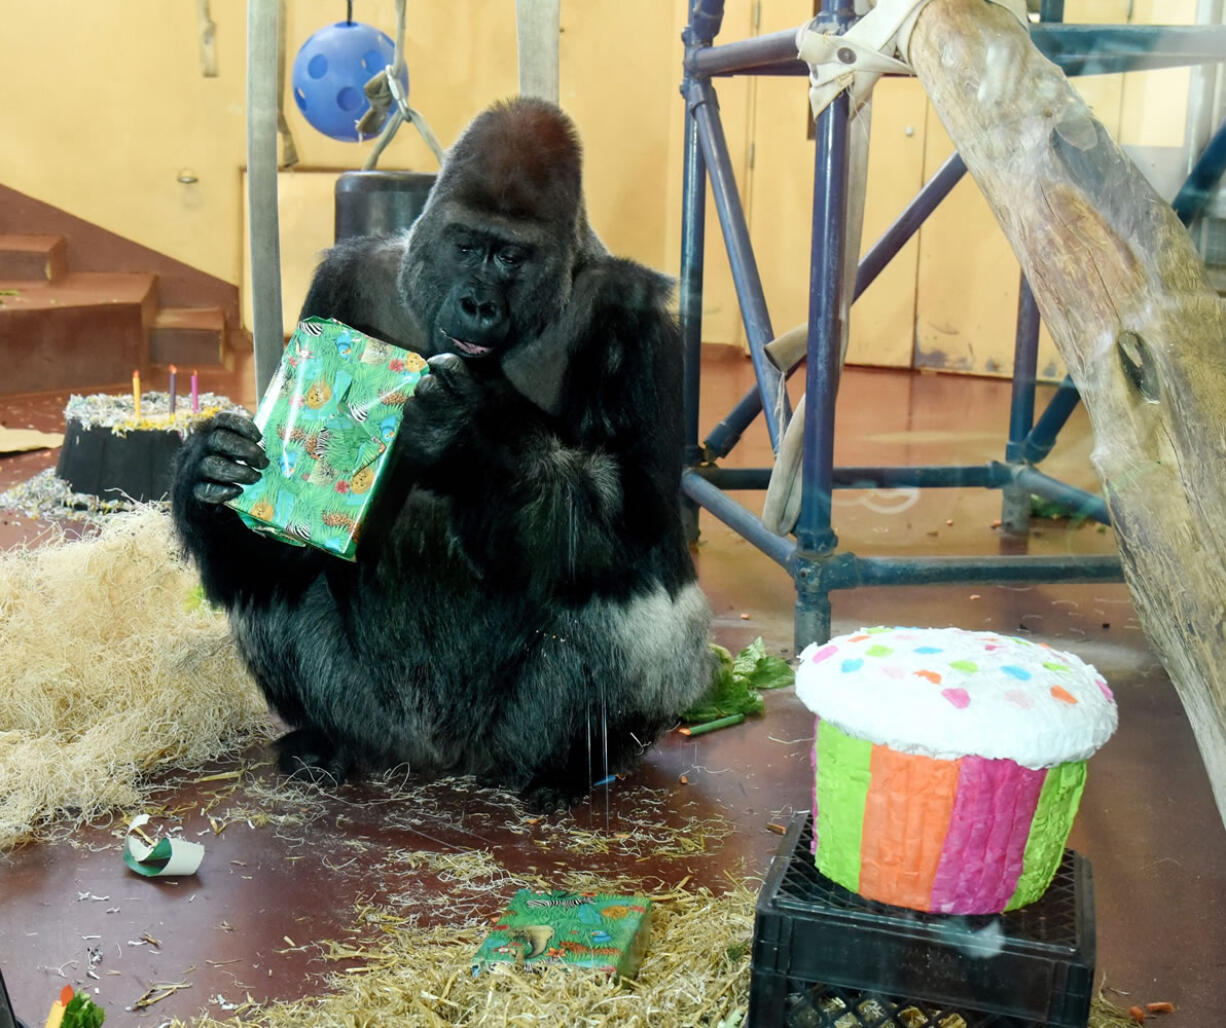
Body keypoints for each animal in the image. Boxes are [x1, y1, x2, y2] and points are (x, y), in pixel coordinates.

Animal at [167, 98, 715, 814]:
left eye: (509, 256)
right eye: (465, 246)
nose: (478, 302)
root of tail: (435, 756)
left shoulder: (637, 316)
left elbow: (644, 521)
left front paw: (464, 441)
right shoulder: (340, 284)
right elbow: (265, 549)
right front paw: (208, 471)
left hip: (510, 736)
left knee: (629, 599)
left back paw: (569, 767)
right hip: (369, 712)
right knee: (266, 584)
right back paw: (324, 742)